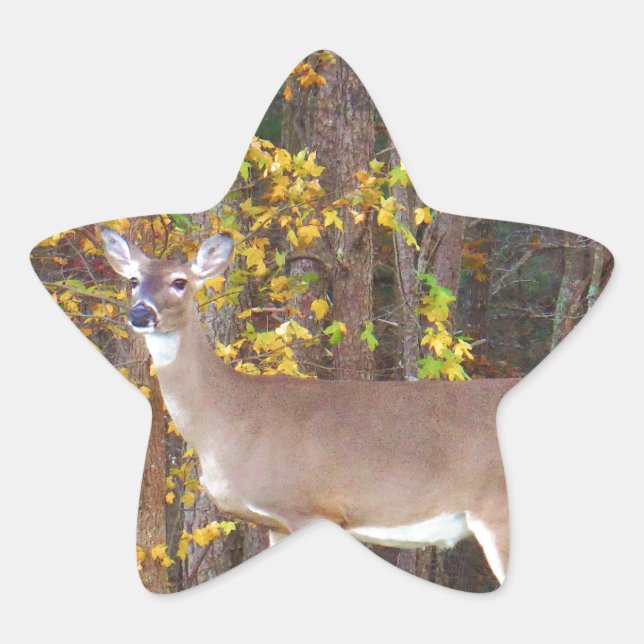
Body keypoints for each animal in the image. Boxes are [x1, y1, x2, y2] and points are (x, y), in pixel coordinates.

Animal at [101, 227, 520, 587]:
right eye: (133, 280)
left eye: (179, 281)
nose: (141, 313)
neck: (230, 418)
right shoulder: (275, 522)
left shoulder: (306, 506)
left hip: (498, 510)